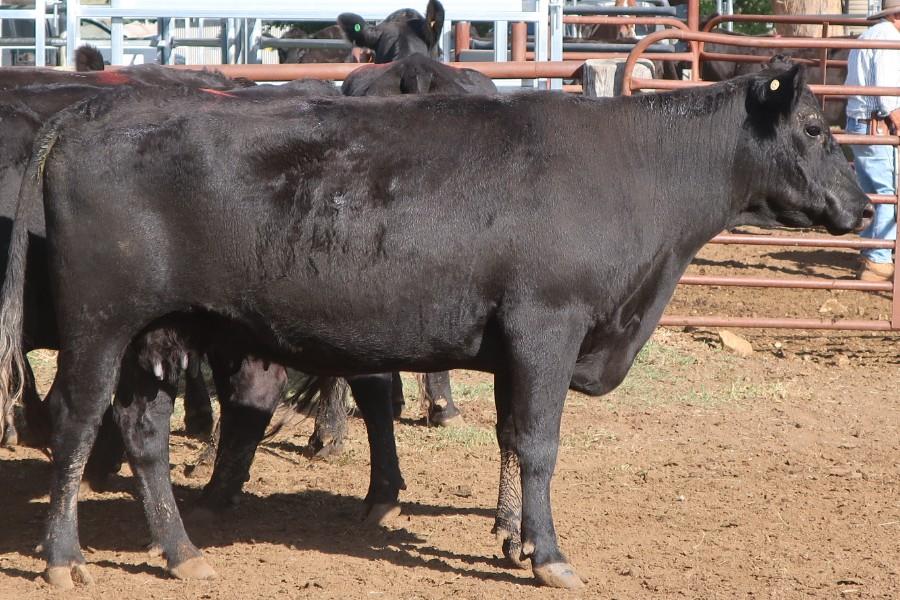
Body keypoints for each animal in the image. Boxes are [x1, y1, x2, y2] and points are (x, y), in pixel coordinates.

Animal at [0, 64, 871, 589]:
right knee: (77, 424)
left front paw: (515, 538)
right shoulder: (547, 326)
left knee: (142, 434)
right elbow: (540, 444)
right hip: (100, 324)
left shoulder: (514, 345)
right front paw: (550, 557)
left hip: (158, 333)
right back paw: (64, 558)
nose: (863, 207)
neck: (633, 170)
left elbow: (509, 439)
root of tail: (88, 113)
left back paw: (183, 554)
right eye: (817, 129)